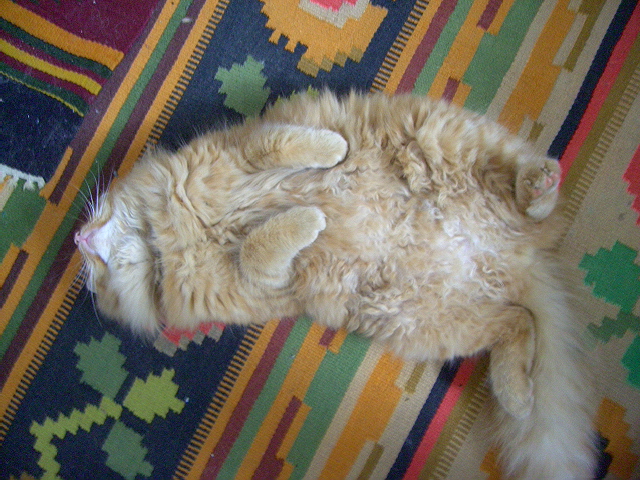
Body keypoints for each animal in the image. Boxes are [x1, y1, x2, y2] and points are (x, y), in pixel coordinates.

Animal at [76, 91, 596, 479]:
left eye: (97, 218)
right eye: (98, 282)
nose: (79, 239)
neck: (173, 236)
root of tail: (518, 258)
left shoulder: (245, 148)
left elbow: (282, 149)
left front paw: (333, 154)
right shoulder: (270, 281)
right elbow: (261, 246)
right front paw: (311, 216)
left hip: (449, 139)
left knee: (528, 191)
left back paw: (539, 185)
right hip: (420, 319)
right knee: (518, 321)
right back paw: (516, 394)